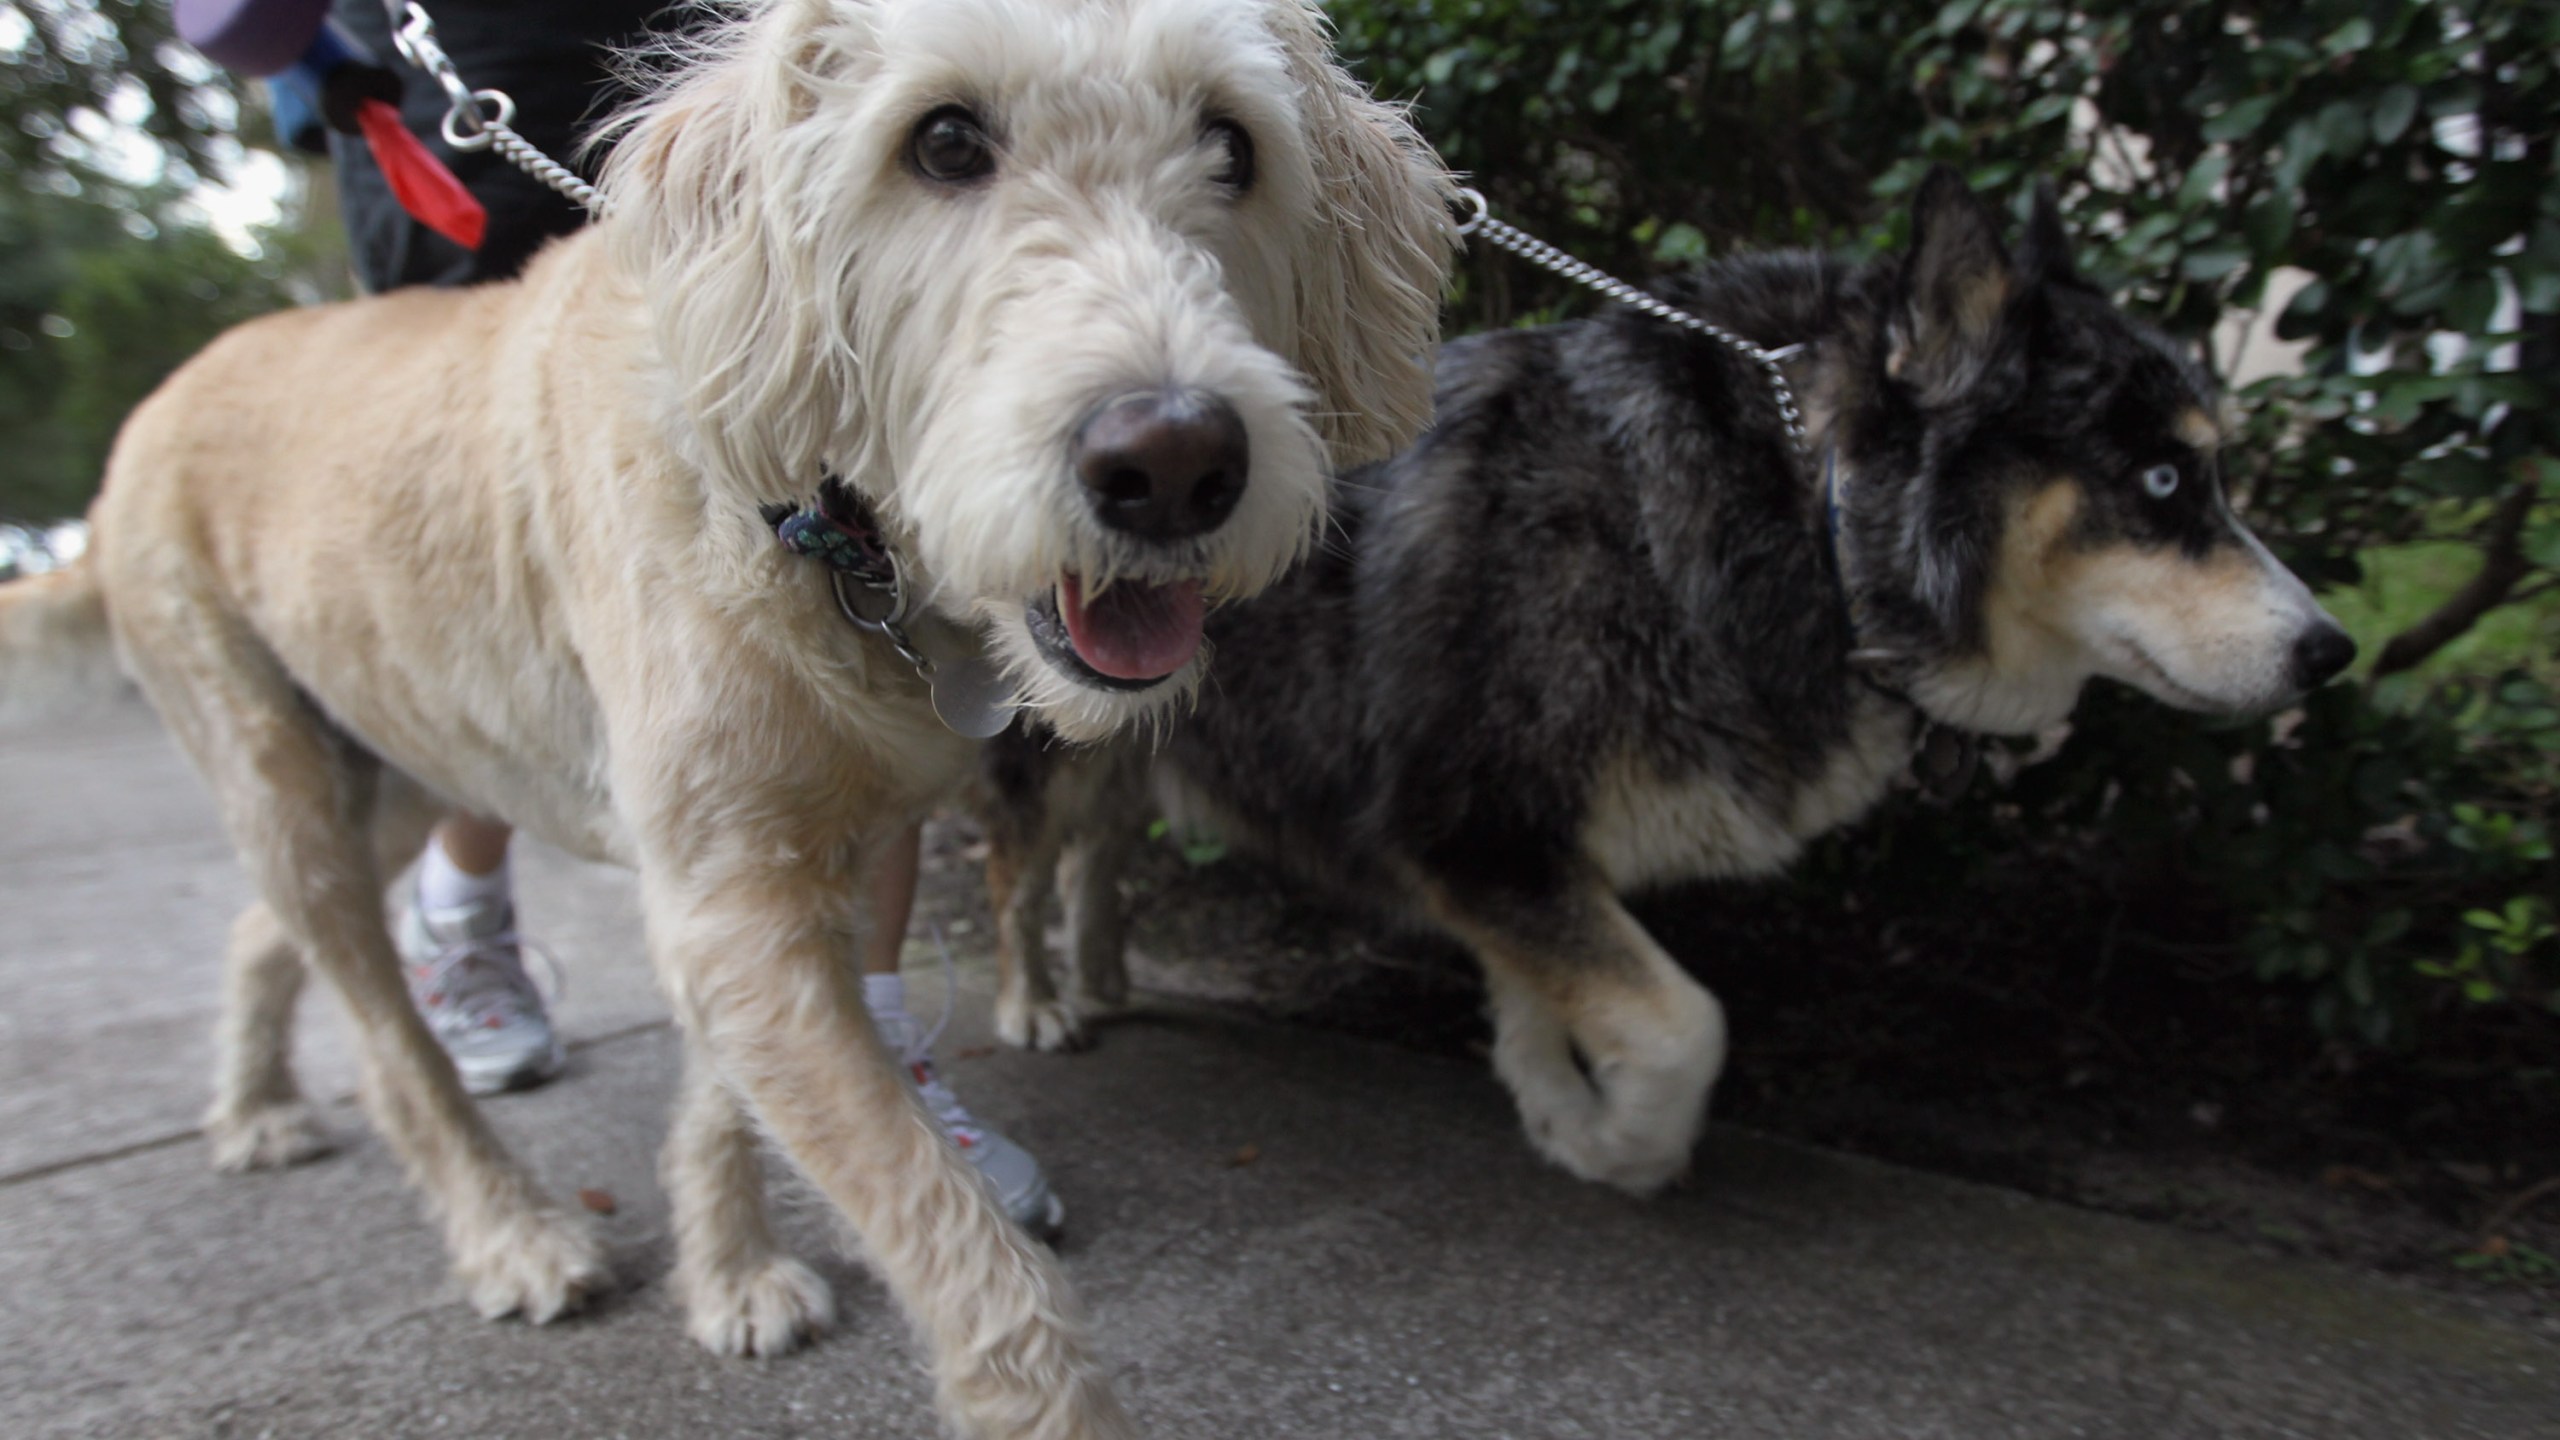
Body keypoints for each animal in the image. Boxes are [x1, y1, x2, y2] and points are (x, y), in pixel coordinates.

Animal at [0, 2, 1454, 1434]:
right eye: (943, 141)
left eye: (1232, 144)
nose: (1172, 465)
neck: (818, 517)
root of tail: (150, 416)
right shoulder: (729, 890)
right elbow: (952, 1239)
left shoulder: (774, 877)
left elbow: (728, 1095)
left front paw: (730, 1272)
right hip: (278, 765)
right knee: (383, 1035)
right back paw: (511, 1233)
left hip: (401, 751)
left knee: (262, 931)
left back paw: (254, 1111)